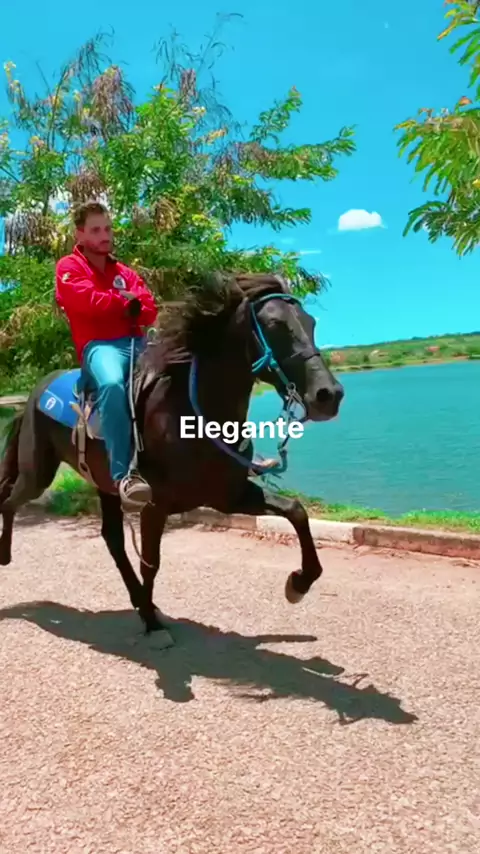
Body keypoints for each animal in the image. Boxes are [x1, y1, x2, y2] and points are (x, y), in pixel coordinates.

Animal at [0, 272, 344, 643]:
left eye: (310, 323)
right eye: (274, 324)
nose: (329, 395)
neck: (190, 413)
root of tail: (34, 395)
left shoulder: (229, 495)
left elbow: (296, 511)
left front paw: (298, 584)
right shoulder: (155, 506)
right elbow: (151, 563)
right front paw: (153, 625)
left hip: (104, 486)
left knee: (113, 540)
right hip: (37, 474)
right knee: (9, 502)